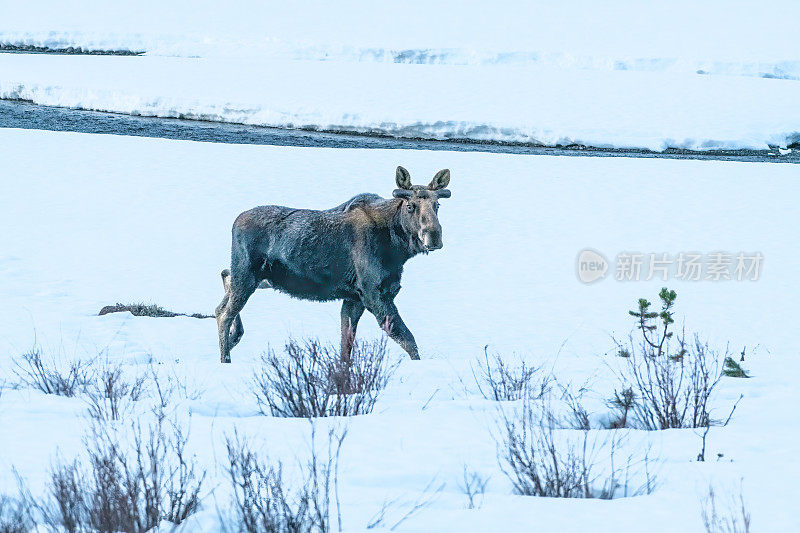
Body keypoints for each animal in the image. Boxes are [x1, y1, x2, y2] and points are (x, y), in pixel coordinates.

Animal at [214, 166, 450, 364]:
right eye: (410, 205)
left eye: (437, 205)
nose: (434, 236)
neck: (396, 247)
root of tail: (235, 221)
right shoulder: (373, 293)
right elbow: (408, 340)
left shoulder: (354, 298)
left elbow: (346, 346)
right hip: (247, 276)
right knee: (225, 313)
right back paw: (226, 357)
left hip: (261, 279)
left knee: (222, 290)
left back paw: (233, 339)